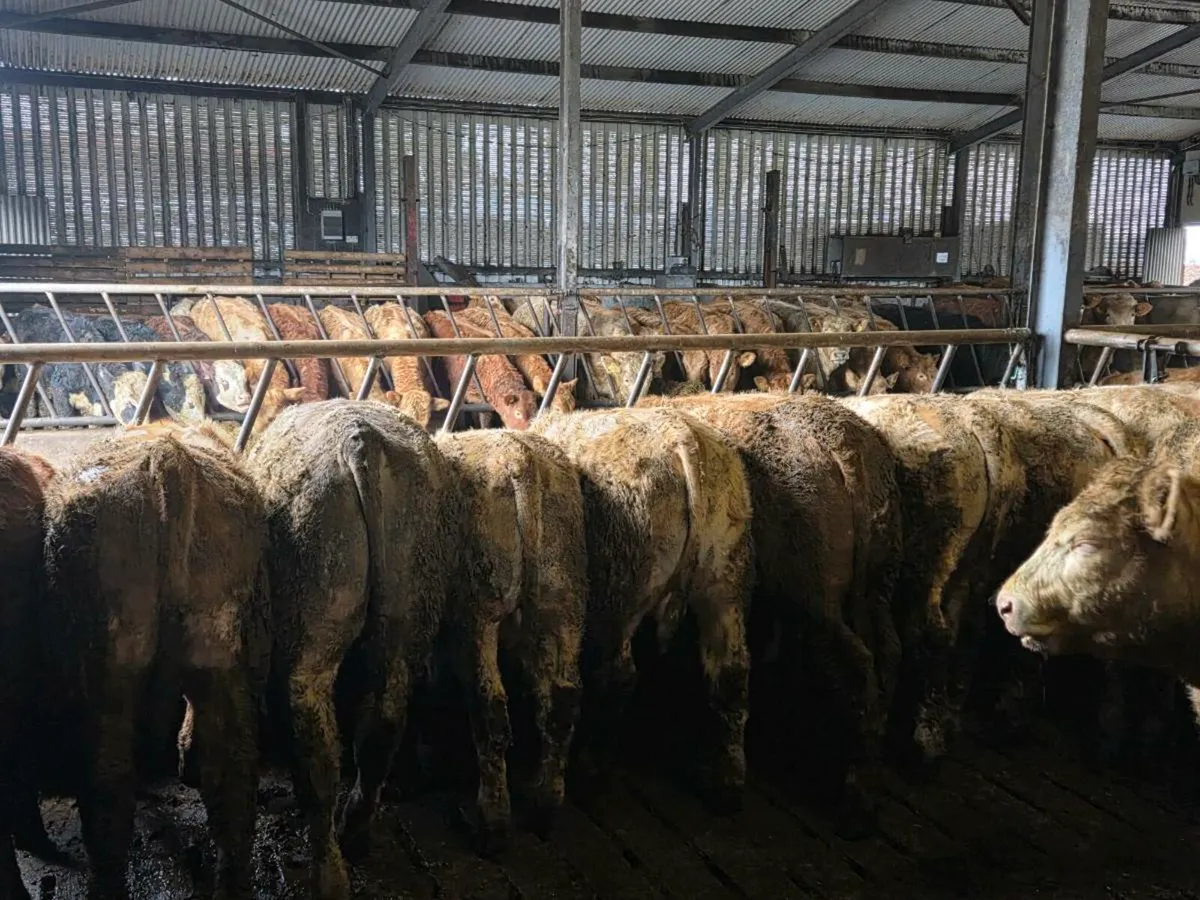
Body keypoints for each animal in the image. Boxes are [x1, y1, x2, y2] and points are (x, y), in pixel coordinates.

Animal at [245, 401, 456, 899]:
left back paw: (330, 871)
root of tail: (361, 442)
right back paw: (356, 832)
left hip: (314, 627)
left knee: (317, 748)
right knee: (382, 724)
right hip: (406, 614)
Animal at [433, 430, 586, 847]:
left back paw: (491, 821)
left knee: (491, 710)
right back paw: (545, 803)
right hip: (564, 603)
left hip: (482, 607)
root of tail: (520, 460)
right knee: (562, 702)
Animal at [531, 408, 753, 813]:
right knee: (732, 673)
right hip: (726, 572)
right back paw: (726, 784)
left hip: (624, 581)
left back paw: (592, 767)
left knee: (620, 675)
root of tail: (684, 440)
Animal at [642, 393, 902, 833]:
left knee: (858, 666)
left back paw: (856, 801)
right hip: (877, 579)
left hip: (812, 587)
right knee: (889, 654)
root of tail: (845, 444)